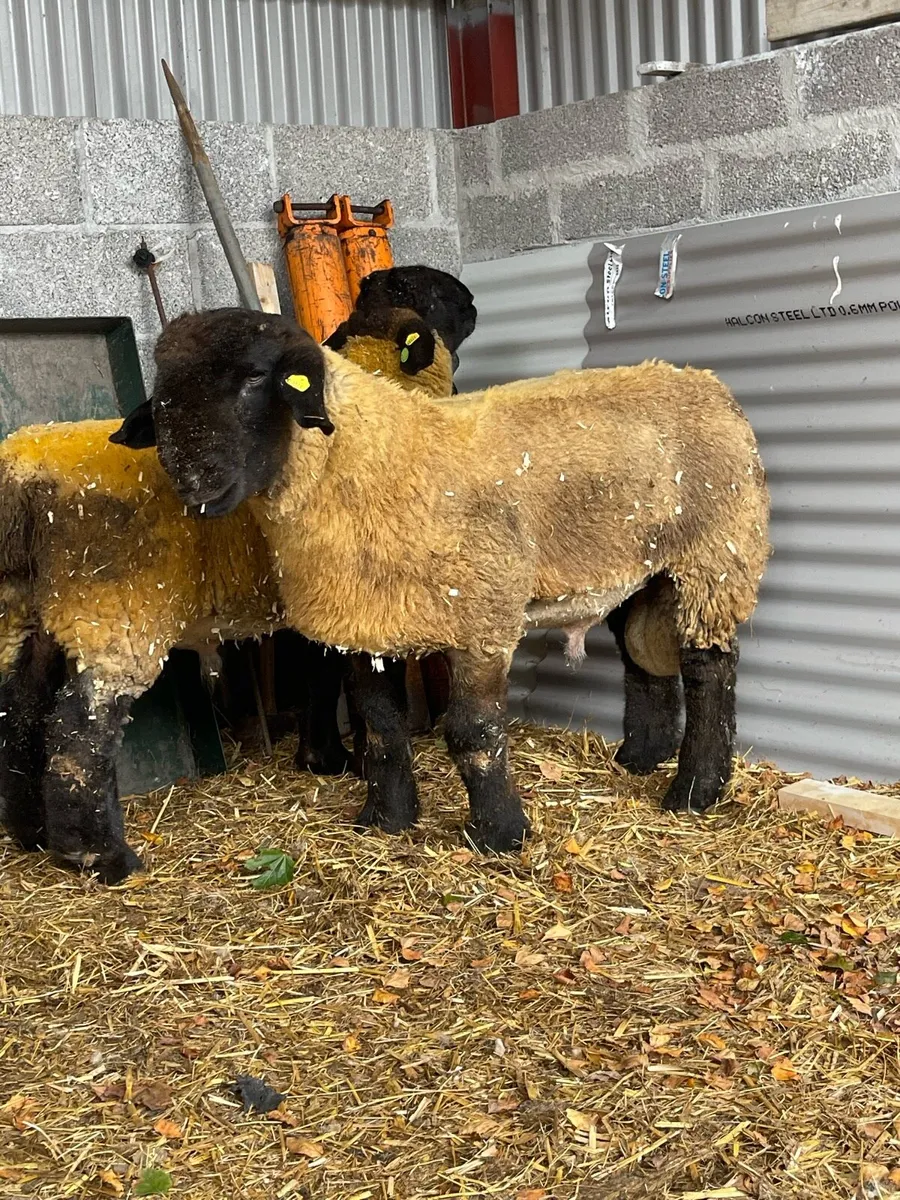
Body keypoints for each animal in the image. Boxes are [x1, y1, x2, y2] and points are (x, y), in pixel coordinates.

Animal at [0, 292, 464, 883]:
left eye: (255, 378)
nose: (195, 484)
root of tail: (21, 472)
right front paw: (350, 761)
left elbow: (317, 670)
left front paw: (323, 757)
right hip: (113, 610)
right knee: (78, 732)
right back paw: (102, 857)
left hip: (27, 611)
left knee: (18, 712)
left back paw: (30, 835)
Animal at [121, 307, 771, 854]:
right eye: (163, 396)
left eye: (256, 377)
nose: (194, 483)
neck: (374, 458)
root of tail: (701, 379)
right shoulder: (364, 624)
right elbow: (382, 731)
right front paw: (386, 820)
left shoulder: (483, 614)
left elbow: (473, 733)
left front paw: (500, 835)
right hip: (639, 565)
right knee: (642, 659)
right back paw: (639, 758)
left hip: (715, 553)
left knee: (710, 669)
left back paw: (693, 791)